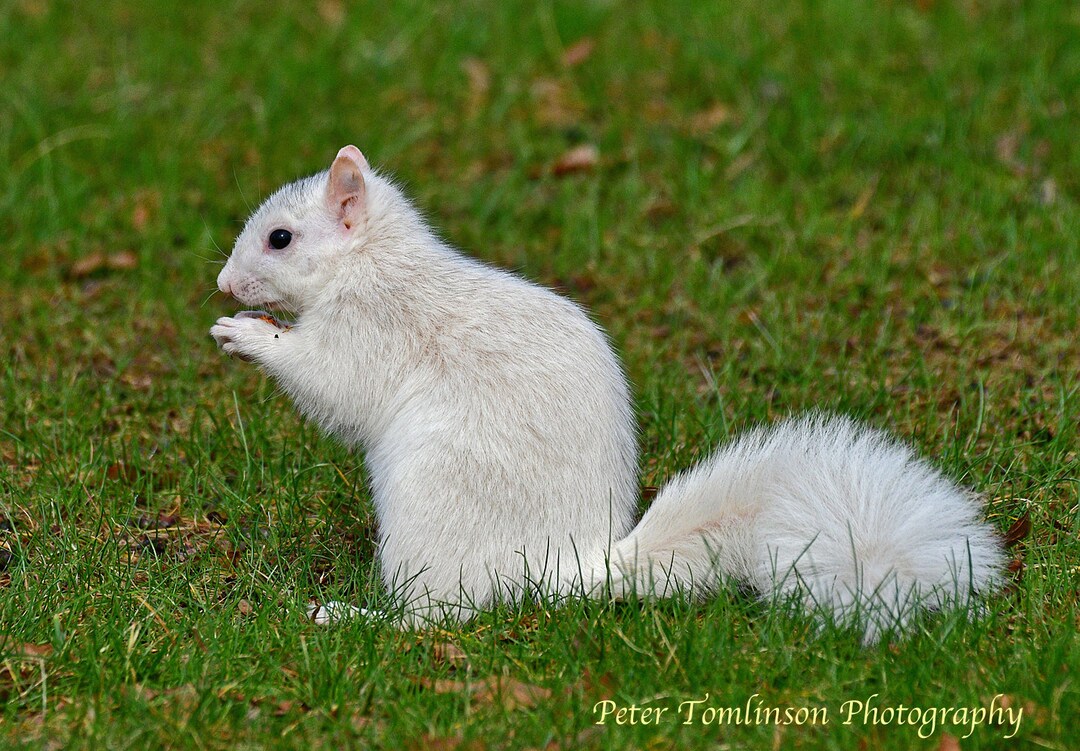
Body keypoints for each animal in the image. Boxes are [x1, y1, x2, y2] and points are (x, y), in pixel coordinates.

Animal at [211, 145, 1004, 643]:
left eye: (280, 238)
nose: (223, 284)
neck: (373, 262)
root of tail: (567, 570)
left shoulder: (373, 329)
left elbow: (333, 384)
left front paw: (250, 335)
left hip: (433, 510)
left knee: (439, 614)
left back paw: (351, 619)